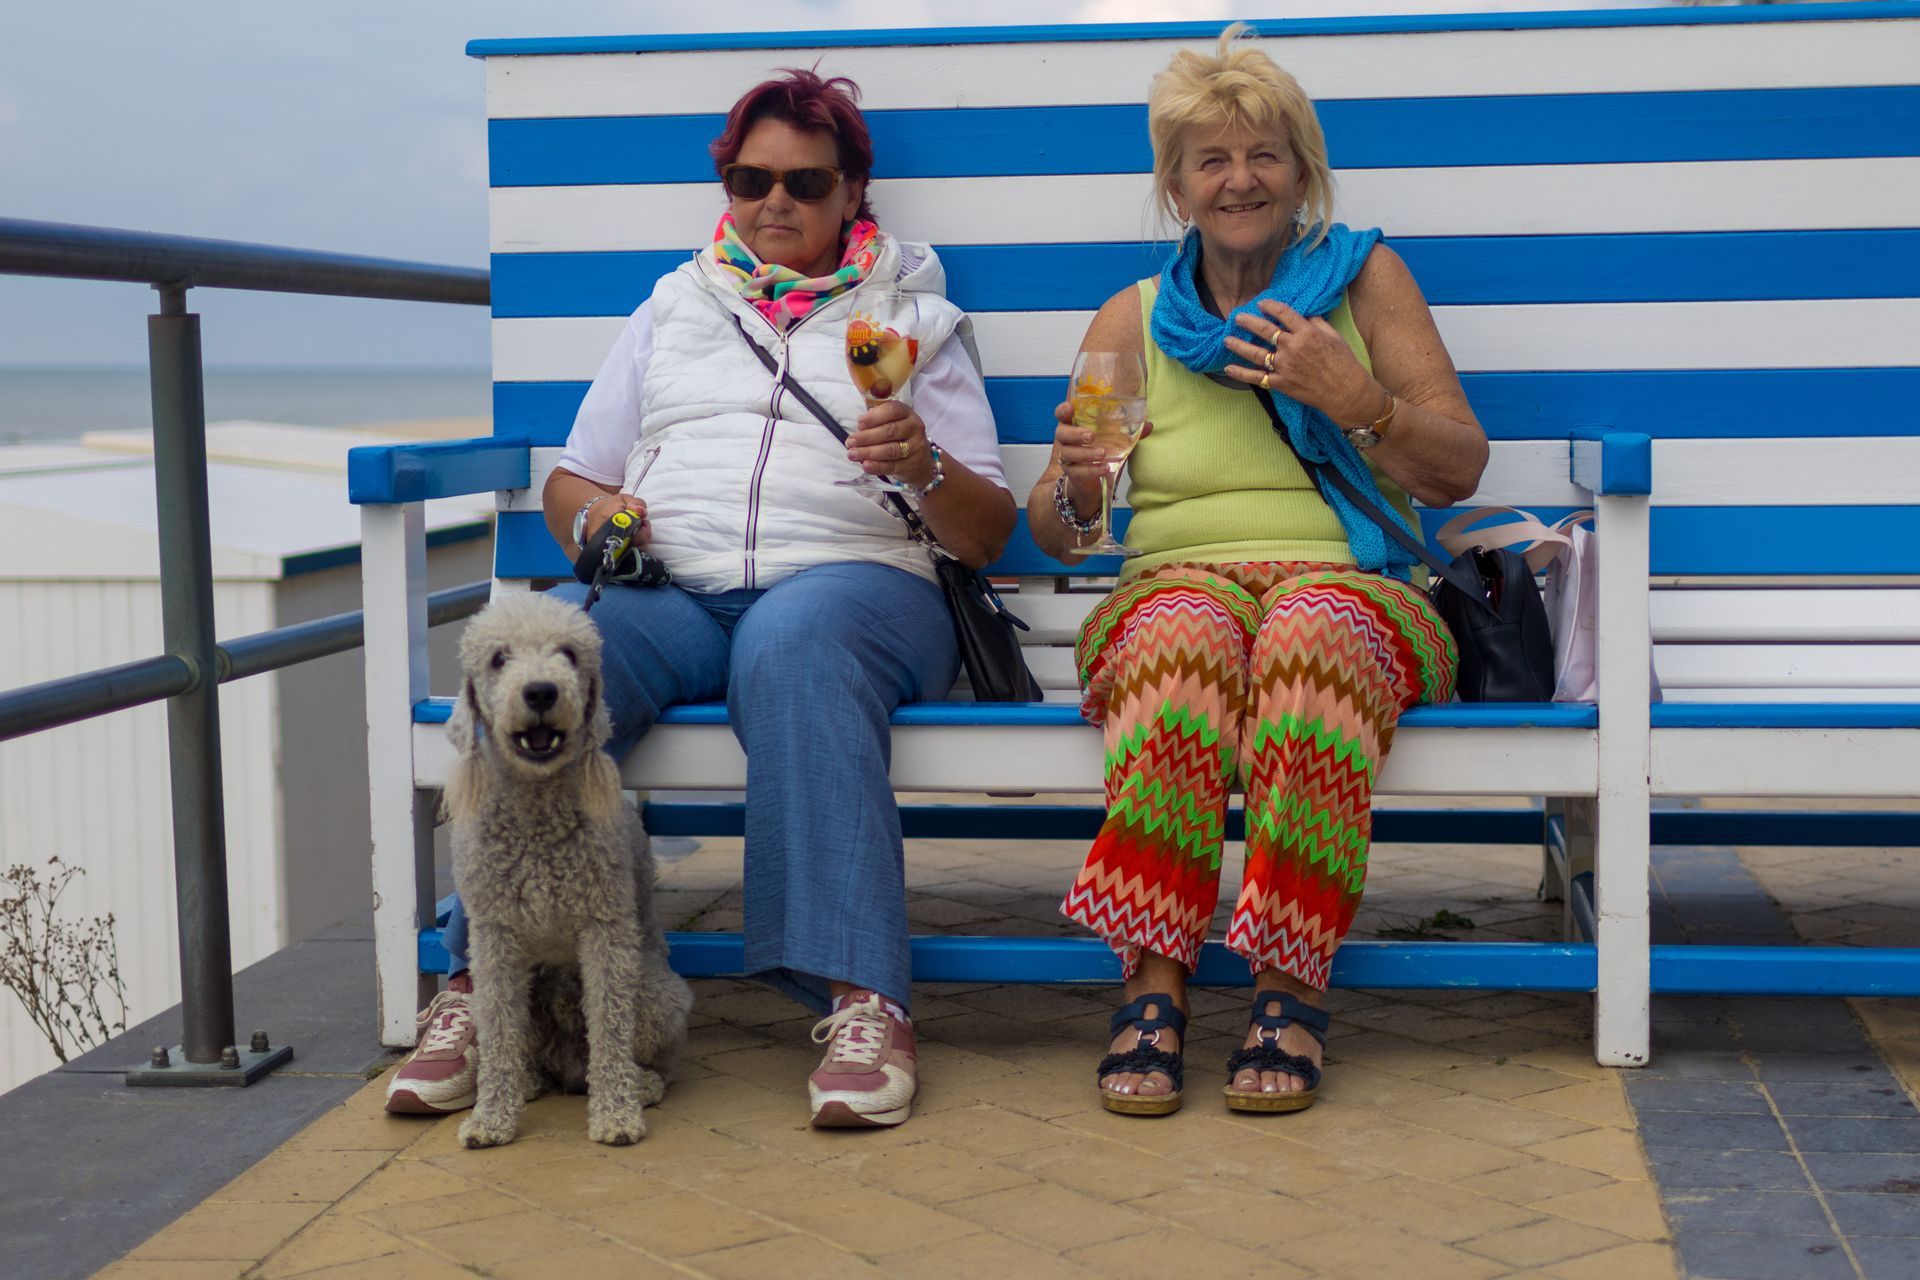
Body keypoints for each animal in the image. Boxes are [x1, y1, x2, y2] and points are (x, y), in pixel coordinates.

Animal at [444, 592, 692, 1148]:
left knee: (643, 1057)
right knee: (524, 1048)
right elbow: (499, 1035)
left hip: (659, 995)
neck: (537, 816)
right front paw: (491, 1118)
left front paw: (616, 1114)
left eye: (569, 655)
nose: (540, 691)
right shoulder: (494, 938)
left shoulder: (605, 931)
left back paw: (639, 1084)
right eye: (498, 658)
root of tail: (568, 1064)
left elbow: (610, 1027)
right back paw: (528, 1082)